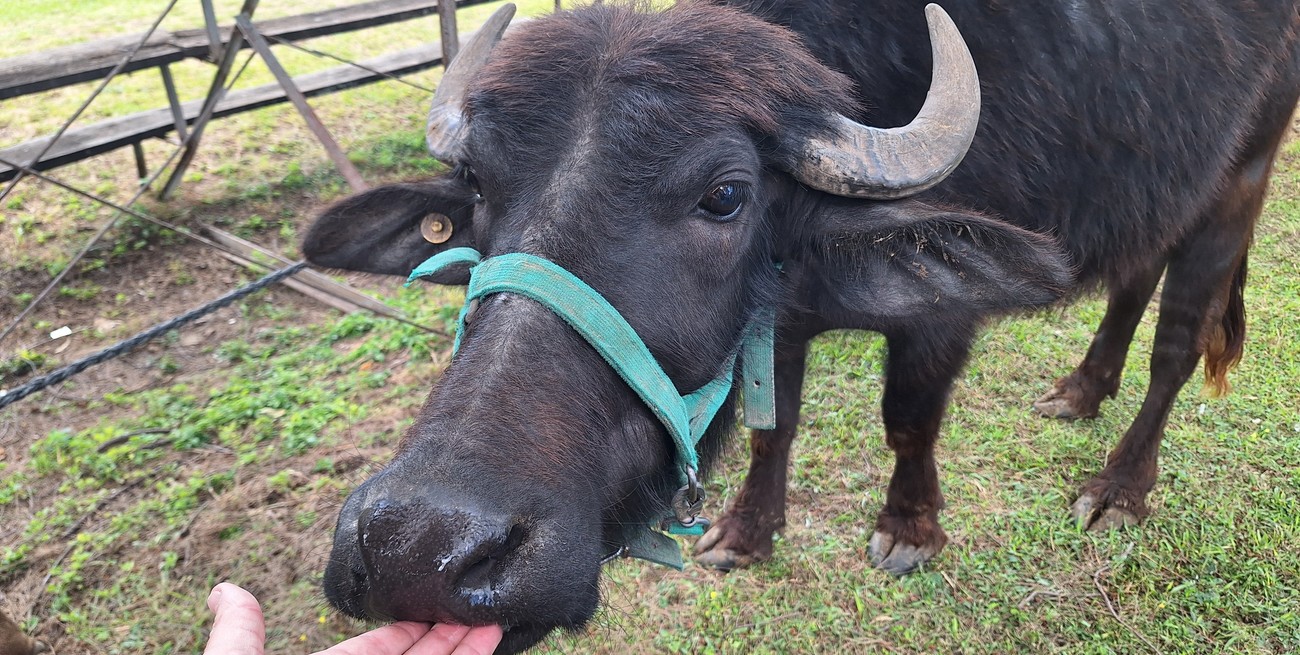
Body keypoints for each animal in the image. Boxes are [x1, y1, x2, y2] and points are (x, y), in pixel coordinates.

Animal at [303, 1, 1300, 651]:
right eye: (475, 186)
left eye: (725, 195)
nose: (417, 547)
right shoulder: (773, 325)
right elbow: (771, 420)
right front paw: (747, 532)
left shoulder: (940, 316)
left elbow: (907, 418)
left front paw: (907, 528)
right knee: (1133, 278)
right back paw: (1082, 388)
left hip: (1241, 175)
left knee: (1178, 340)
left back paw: (1119, 485)